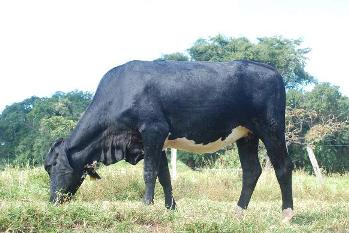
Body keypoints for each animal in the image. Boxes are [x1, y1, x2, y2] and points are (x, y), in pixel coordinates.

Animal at [44, 60, 292, 222]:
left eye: (53, 167)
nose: (53, 201)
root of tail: (269, 68)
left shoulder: (154, 129)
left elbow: (149, 172)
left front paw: (146, 206)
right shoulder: (154, 141)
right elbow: (164, 175)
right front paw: (171, 208)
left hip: (271, 128)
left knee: (283, 167)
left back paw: (286, 215)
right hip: (246, 134)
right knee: (251, 170)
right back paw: (237, 212)